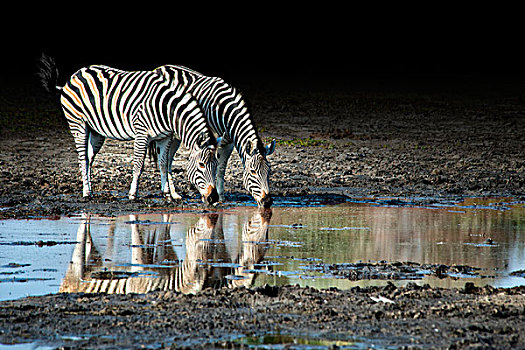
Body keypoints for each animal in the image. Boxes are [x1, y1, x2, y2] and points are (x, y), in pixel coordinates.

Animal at [38, 54, 219, 205]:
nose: (214, 198)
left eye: (216, 164)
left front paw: (167, 194)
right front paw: (133, 194)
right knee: (82, 158)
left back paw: (90, 189)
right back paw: (86, 193)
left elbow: (163, 163)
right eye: (201, 165)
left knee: (88, 158)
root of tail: (71, 78)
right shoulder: (142, 134)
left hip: (96, 131)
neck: (167, 109)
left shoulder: (165, 137)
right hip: (78, 123)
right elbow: (139, 165)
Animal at [151, 65, 276, 208]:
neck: (225, 113)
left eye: (269, 171)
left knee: (169, 159)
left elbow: (221, 169)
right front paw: (208, 195)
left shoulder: (228, 142)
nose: (267, 202)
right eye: (253, 172)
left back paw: (174, 194)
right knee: (166, 159)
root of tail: (161, 67)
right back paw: (173, 194)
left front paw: (220, 197)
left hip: (177, 136)